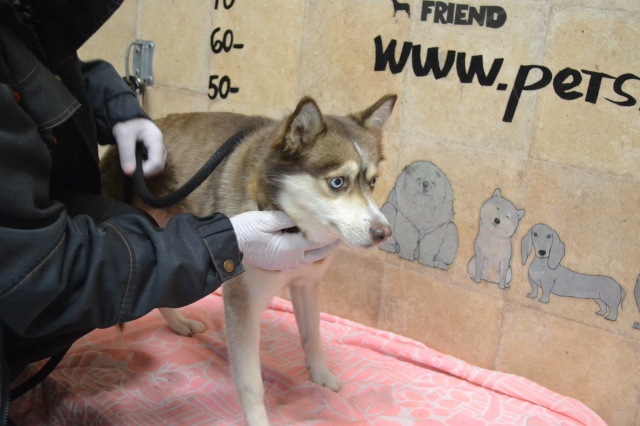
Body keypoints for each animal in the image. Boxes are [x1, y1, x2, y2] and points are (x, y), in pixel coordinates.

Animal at [100, 94, 396, 425]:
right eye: (337, 182)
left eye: (373, 181)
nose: (383, 233)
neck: (289, 224)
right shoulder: (242, 303)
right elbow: (251, 382)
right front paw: (258, 419)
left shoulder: (306, 284)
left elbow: (312, 336)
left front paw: (320, 374)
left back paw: (179, 323)